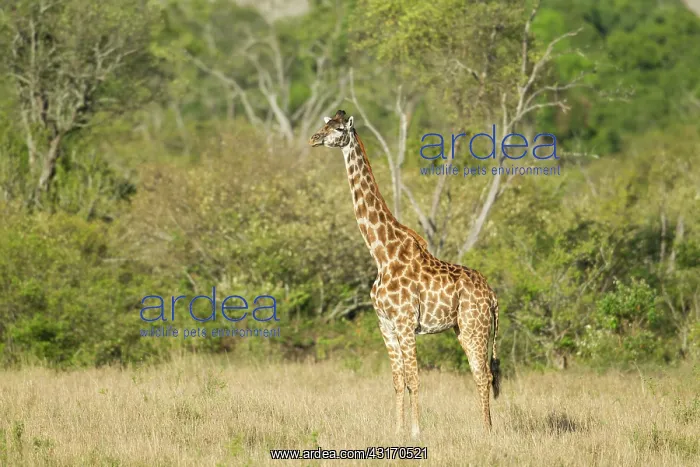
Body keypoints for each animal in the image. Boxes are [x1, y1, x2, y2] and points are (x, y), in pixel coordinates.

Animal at [308, 110, 501, 438]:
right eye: (325, 124)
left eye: (338, 129)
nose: (314, 138)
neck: (382, 253)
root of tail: (492, 295)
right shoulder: (385, 324)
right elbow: (398, 380)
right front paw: (397, 430)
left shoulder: (405, 322)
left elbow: (414, 379)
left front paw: (416, 432)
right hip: (461, 328)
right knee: (482, 373)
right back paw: (483, 427)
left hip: (475, 327)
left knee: (483, 374)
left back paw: (487, 430)